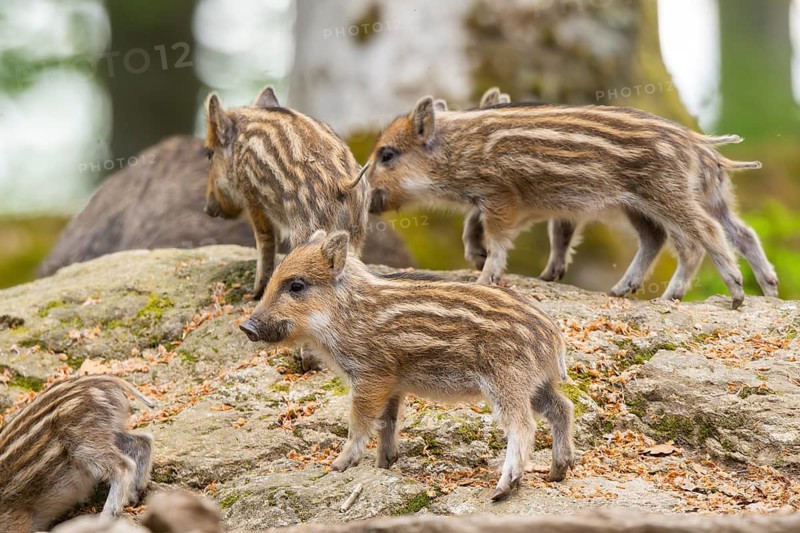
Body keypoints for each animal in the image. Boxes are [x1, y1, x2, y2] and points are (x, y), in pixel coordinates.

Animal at [0, 376, 154, 533]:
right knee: (143, 441)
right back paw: (134, 496)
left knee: (123, 465)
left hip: (84, 443)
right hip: (108, 433)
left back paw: (106, 516)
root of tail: (110, 381)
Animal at [239, 230, 575, 501]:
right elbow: (387, 423)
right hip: (535, 383)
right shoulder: (393, 384)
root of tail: (553, 335)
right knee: (563, 408)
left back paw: (503, 489)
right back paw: (557, 472)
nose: (247, 327)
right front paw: (383, 465)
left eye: (296, 285)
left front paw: (338, 466)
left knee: (523, 425)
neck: (345, 316)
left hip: (507, 381)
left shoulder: (371, 376)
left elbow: (359, 422)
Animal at [364, 96, 776, 309]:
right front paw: (528, 273)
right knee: (733, 233)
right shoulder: (524, 206)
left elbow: (498, 240)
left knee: (701, 235)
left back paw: (729, 293)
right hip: (662, 203)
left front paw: (484, 279)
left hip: (667, 194)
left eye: (387, 155)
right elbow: (486, 228)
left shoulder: (503, 197)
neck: (458, 151)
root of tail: (698, 144)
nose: (364, 196)